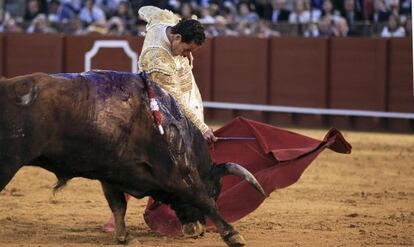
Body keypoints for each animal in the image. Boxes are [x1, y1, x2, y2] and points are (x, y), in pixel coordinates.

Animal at [0, 70, 266, 246]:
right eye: (216, 190)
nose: (196, 230)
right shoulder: (179, 173)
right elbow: (202, 199)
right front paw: (233, 235)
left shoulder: (111, 176)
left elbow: (118, 205)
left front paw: (124, 236)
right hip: (7, 165)